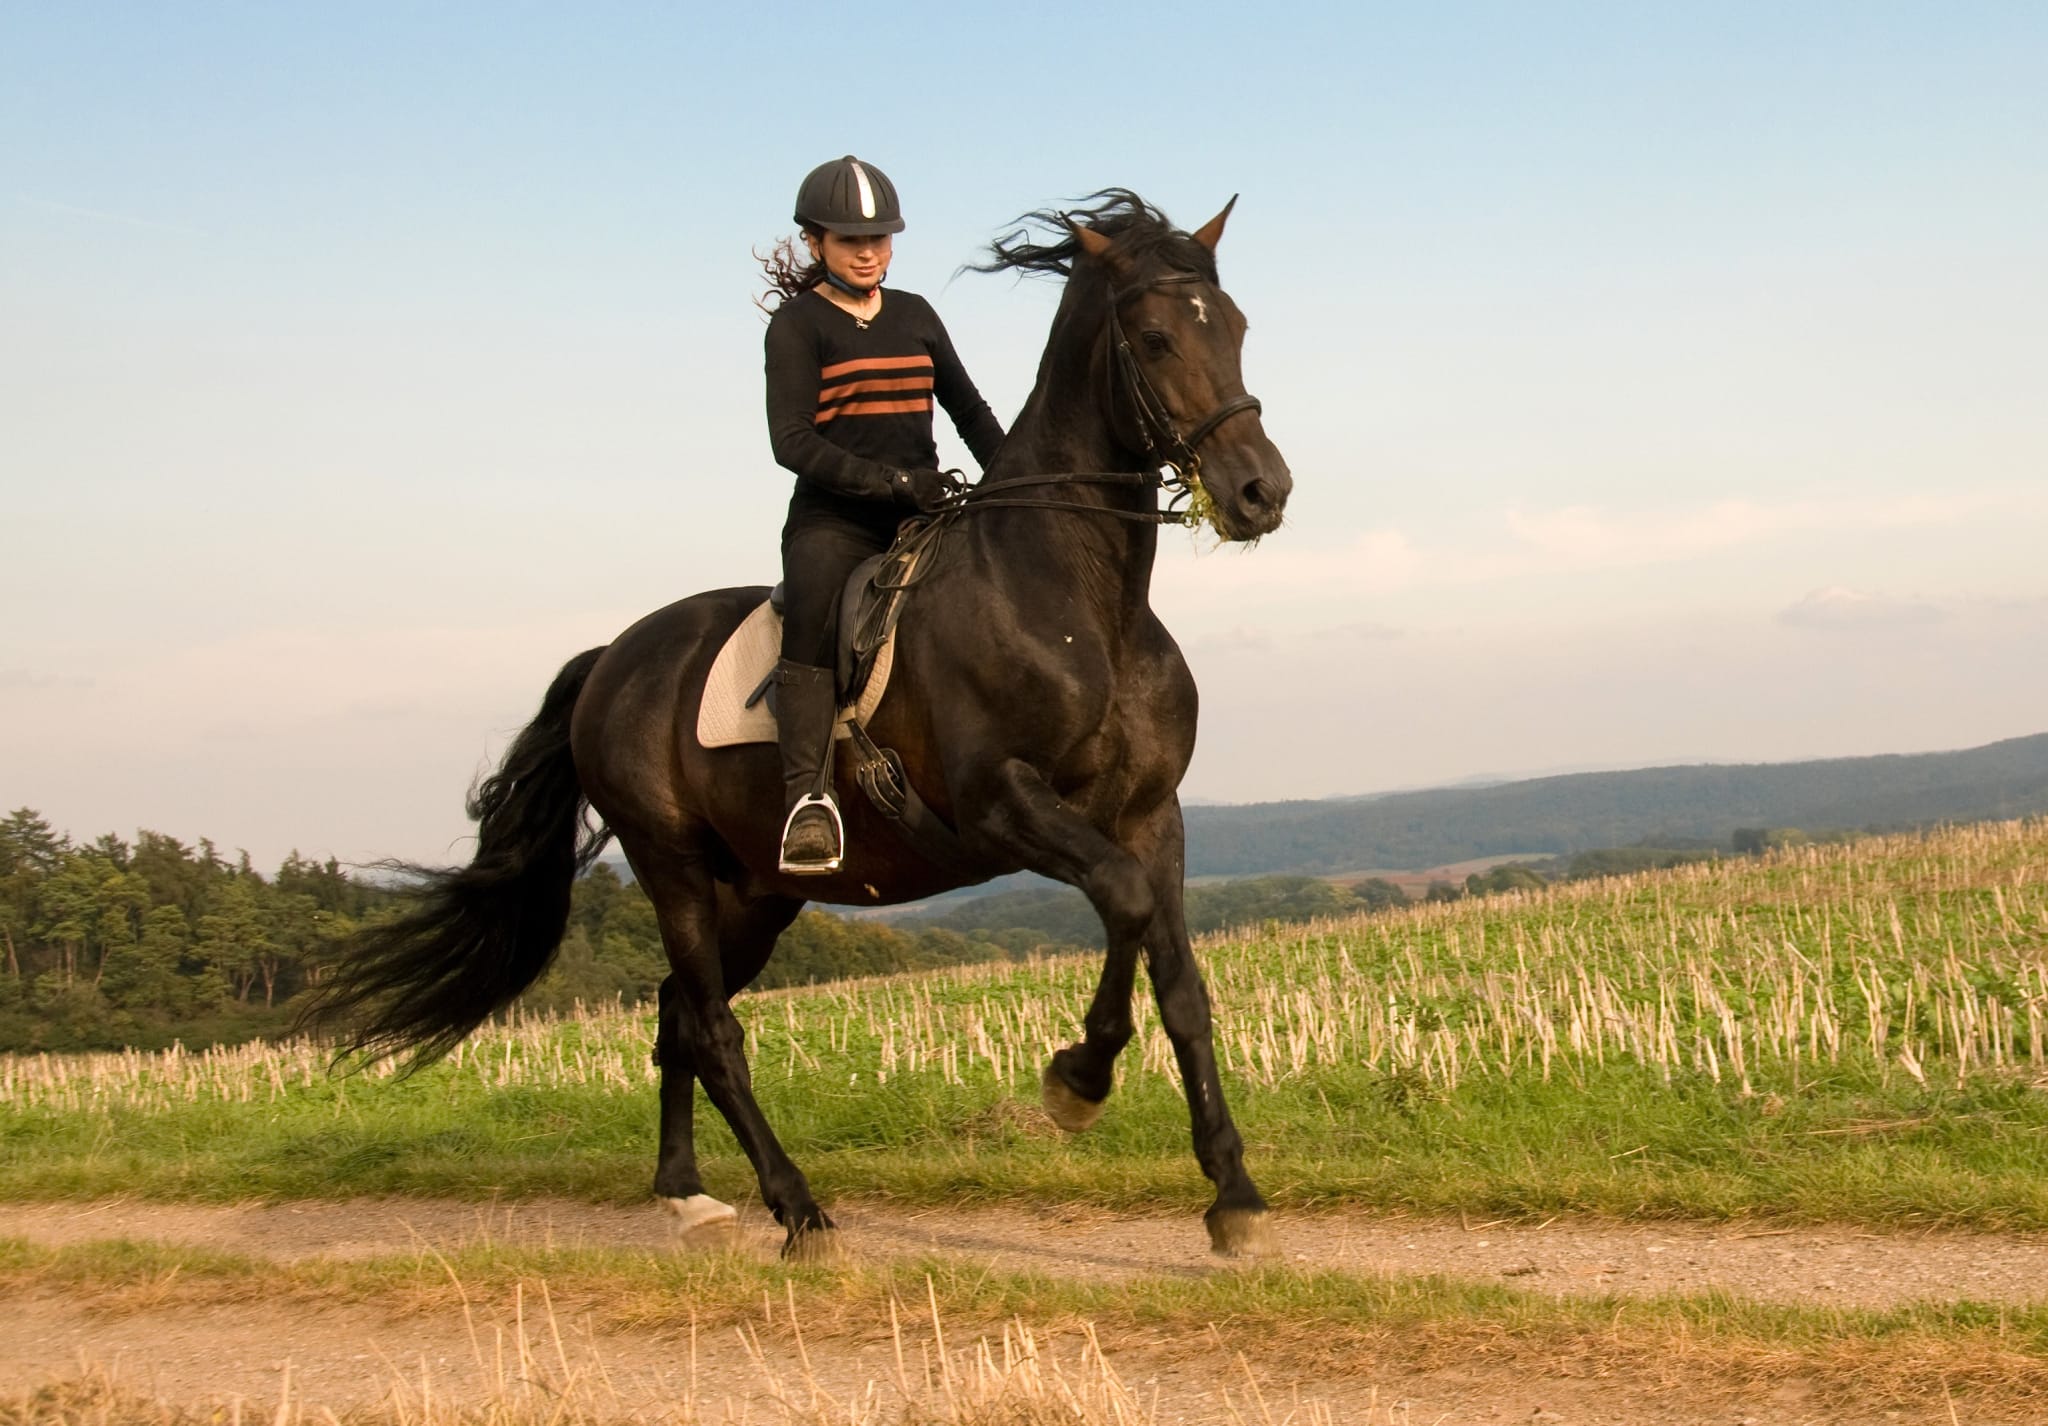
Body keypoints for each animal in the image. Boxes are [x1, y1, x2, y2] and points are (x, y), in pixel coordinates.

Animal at [307, 192, 1294, 1262]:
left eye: (1235, 328)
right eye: (1154, 338)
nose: (1261, 492)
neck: (1074, 599)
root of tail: (611, 659)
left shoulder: (1153, 816)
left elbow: (1180, 983)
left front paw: (1233, 1196)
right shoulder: (1001, 806)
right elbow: (1122, 901)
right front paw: (1076, 1080)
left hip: (756, 893)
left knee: (677, 1017)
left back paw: (685, 1192)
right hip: (672, 868)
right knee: (711, 1029)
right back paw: (798, 1209)